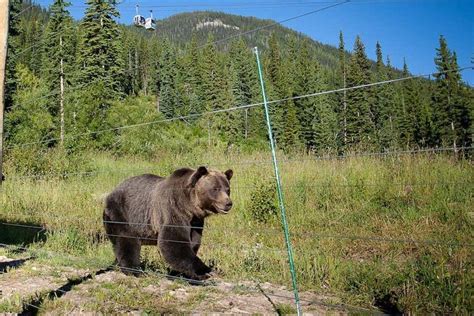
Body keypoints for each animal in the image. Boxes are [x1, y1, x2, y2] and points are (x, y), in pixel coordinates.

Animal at [103, 167, 232, 280]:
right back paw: (134, 270)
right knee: (126, 240)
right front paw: (205, 270)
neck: (189, 205)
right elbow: (174, 242)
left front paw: (180, 272)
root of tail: (111, 193)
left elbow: (194, 242)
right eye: (215, 188)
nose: (228, 203)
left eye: (227, 189)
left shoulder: (196, 222)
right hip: (123, 214)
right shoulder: (173, 209)